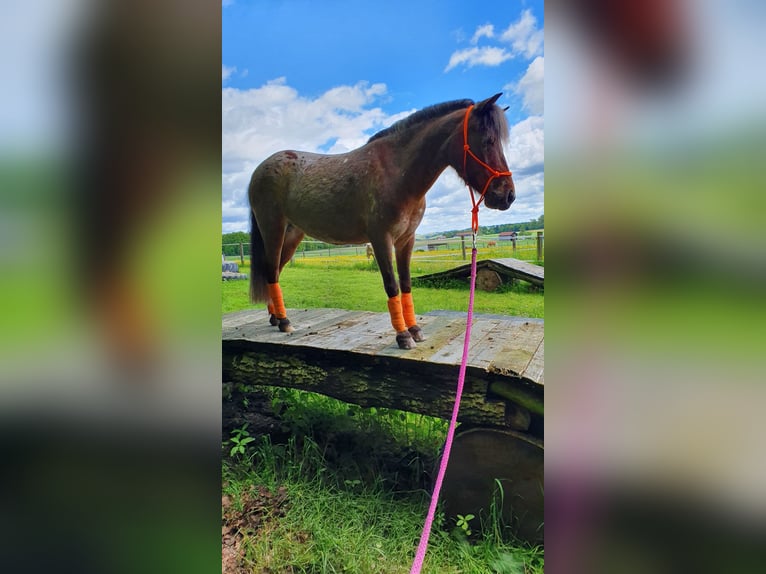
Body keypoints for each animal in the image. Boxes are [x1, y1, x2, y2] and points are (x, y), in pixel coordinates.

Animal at [250, 93, 516, 352]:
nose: (508, 195)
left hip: (292, 234)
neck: (398, 173)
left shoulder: (406, 241)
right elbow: (392, 285)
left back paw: (275, 318)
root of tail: (259, 170)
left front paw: (415, 330)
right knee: (272, 271)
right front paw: (403, 336)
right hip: (273, 229)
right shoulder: (381, 239)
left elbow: (406, 284)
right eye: (488, 141)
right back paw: (284, 322)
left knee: (275, 271)